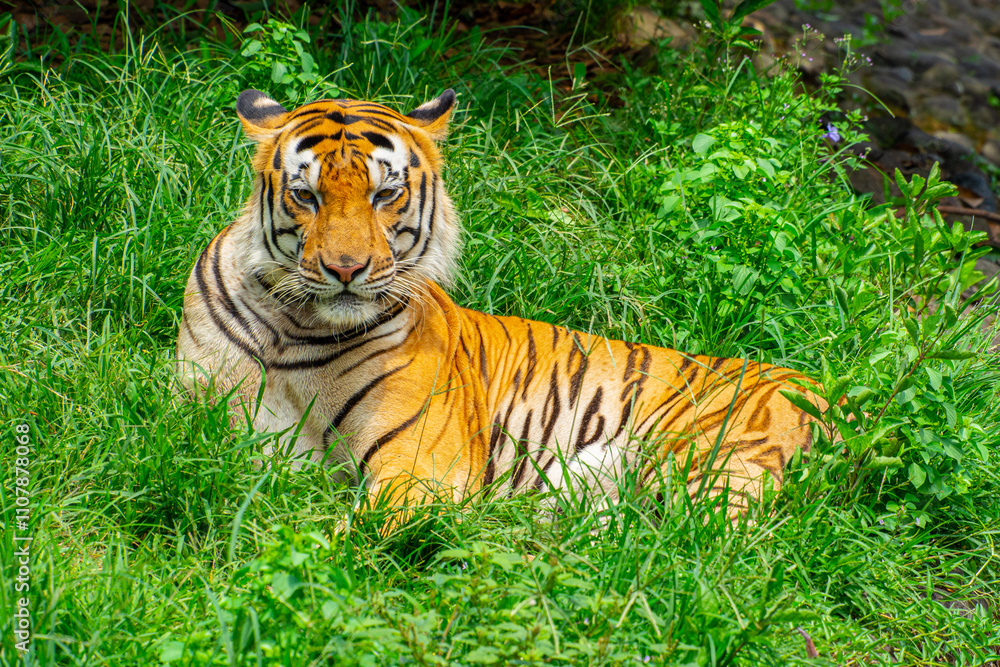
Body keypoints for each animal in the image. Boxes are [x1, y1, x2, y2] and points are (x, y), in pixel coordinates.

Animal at [175, 87, 833, 523]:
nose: (345, 269)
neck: (295, 329)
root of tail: (839, 397)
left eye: (385, 195)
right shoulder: (197, 423)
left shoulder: (421, 467)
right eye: (306, 196)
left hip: (707, 461)